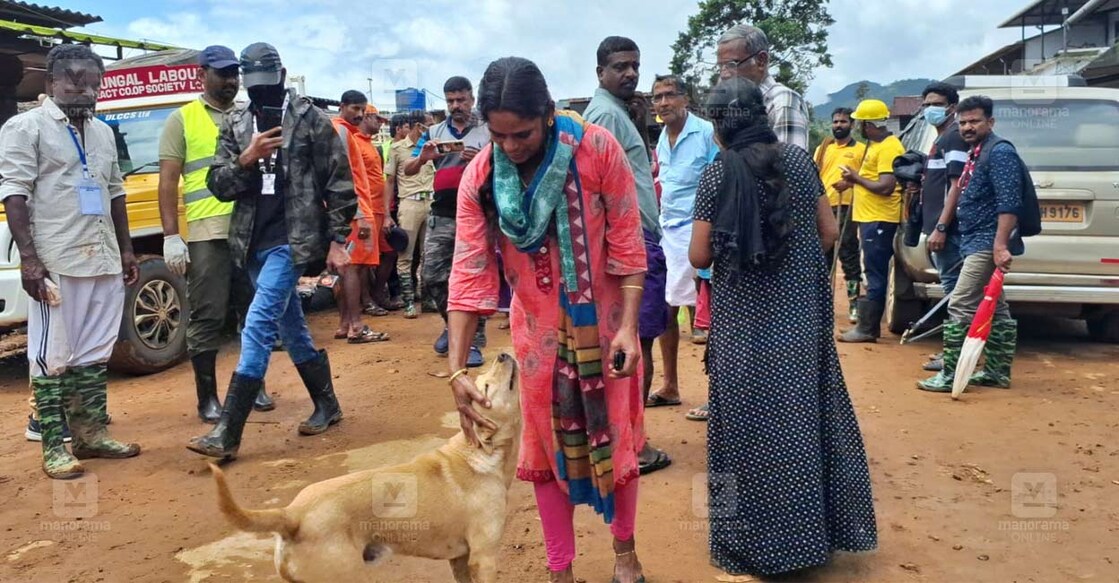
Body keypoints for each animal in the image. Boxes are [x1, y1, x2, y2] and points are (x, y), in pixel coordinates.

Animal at [210, 351, 519, 577]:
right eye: (486, 387)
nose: (503, 354)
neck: (481, 453)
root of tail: (292, 514)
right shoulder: (483, 557)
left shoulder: (460, 558)